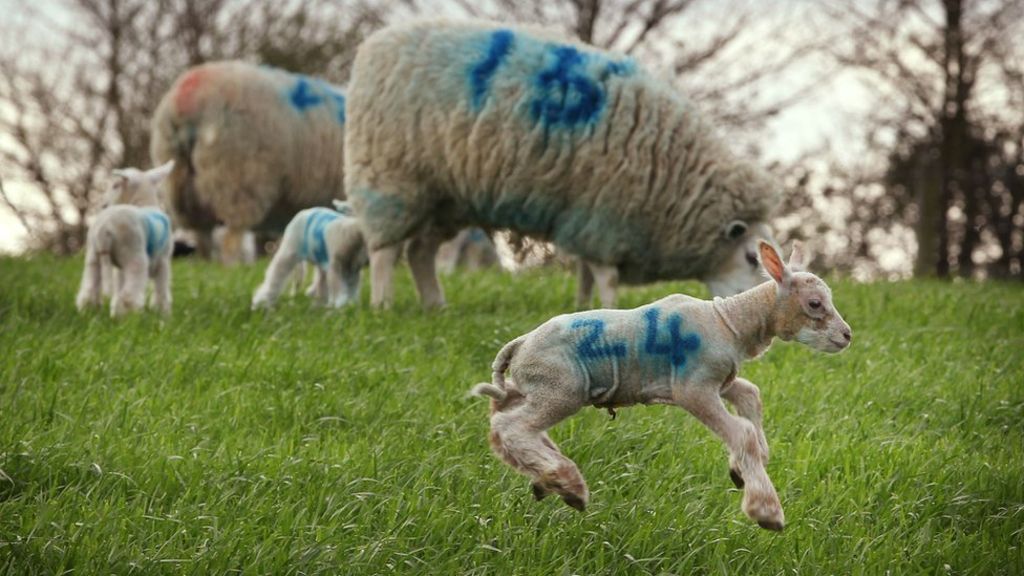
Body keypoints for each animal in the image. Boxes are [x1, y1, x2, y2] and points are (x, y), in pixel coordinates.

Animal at [76, 162, 176, 317]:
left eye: (115, 185)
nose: (103, 205)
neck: (144, 203)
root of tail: (105, 229)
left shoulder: (120, 269)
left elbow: (118, 290)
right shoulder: (163, 261)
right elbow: (161, 290)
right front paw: (163, 313)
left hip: (93, 256)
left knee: (88, 292)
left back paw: (90, 313)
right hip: (135, 257)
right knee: (129, 296)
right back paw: (131, 318)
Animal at [150, 60, 347, 265]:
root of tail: (189, 95)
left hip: (181, 184)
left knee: (203, 235)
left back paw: (206, 263)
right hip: (240, 177)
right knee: (230, 238)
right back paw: (233, 265)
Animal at [344, 20, 781, 310]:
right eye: (750, 257)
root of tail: (374, 44)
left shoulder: (588, 218)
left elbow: (587, 273)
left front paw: (582, 307)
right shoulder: (605, 216)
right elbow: (606, 277)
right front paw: (609, 310)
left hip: (445, 196)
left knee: (420, 251)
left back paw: (436, 306)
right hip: (390, 176)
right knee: (384, 250)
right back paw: (382, 305)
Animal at [471, 242, 852, 531]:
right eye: (814, 304)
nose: (847, 336)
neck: (731, 322)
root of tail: (518, 345)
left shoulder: (720, 379)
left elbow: (750, 395)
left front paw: (743, 467)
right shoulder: (693, 388)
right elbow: (741, 431)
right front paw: (766, 510)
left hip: (530, 388)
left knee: (501, 424)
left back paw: (548, 480)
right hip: (560, 388)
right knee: (512, 427)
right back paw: (570, 484)